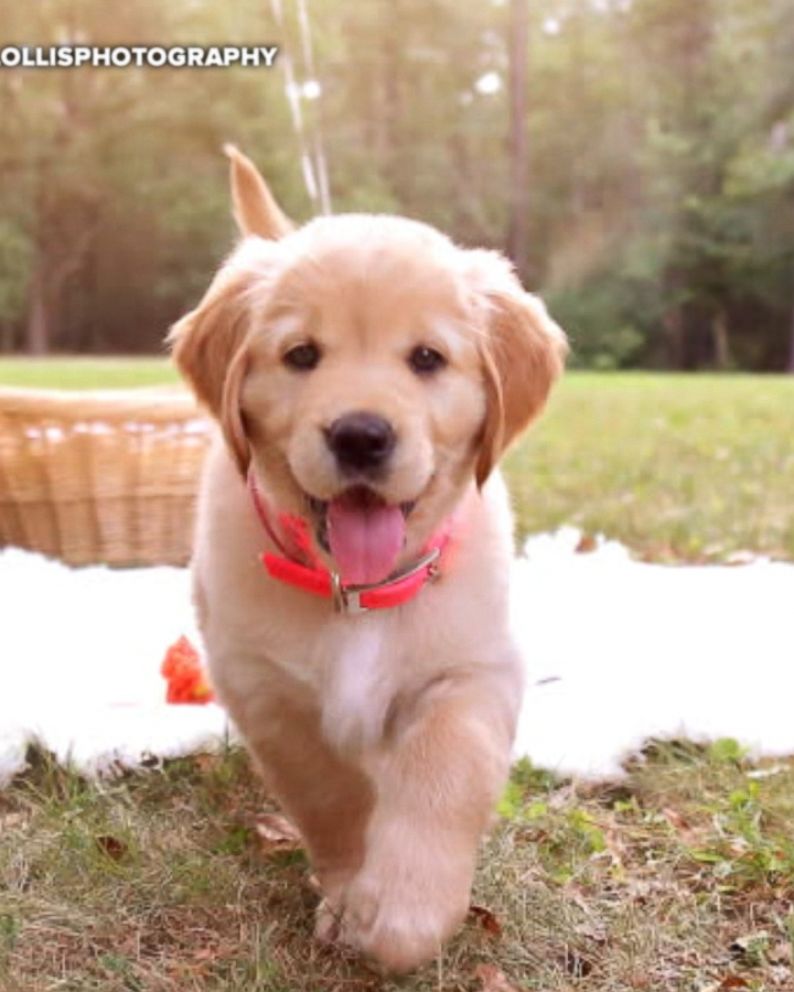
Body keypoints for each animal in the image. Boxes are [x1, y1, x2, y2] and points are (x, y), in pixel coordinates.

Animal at [169, 149, 564, 976]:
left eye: (427, 359)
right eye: (301, 355)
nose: (360, 435)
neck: (352, 592)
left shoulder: (473, 672)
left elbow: (443, 773)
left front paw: (406, 909)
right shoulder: (267, 695)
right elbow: (329, 796)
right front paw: (354, 891)